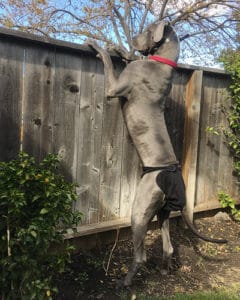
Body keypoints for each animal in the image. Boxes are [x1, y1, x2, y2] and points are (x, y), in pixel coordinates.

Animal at [86, 19, 227, 288]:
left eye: (149, 29)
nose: (133, 38)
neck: (162, 62)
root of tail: (174, 175)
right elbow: (129, 57)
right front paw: (120, 49)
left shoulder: (115, 87)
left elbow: (108, 63)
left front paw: (98, 46)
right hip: (162, 212)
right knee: (169, 246)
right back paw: (163, 270)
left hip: (140, 209)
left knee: (140, 254)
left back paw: (125, 282)